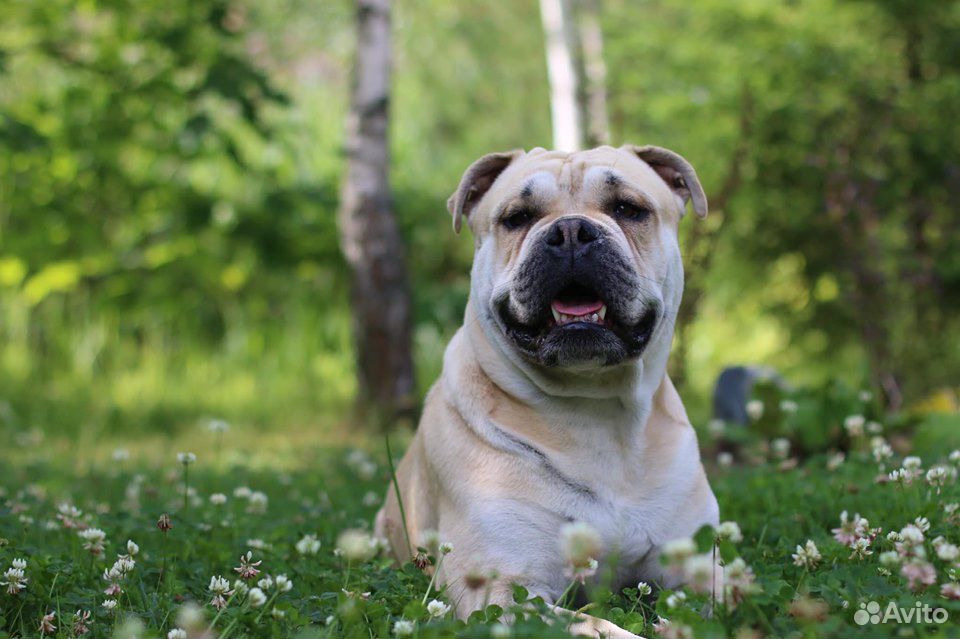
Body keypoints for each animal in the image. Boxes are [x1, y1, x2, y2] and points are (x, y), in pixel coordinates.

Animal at [376, 146, 720, 639]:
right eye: (517, 218)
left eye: (628, 209)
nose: (572, 231)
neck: (594, 410)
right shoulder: (503, 589)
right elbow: (597, 625)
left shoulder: (699, 571)